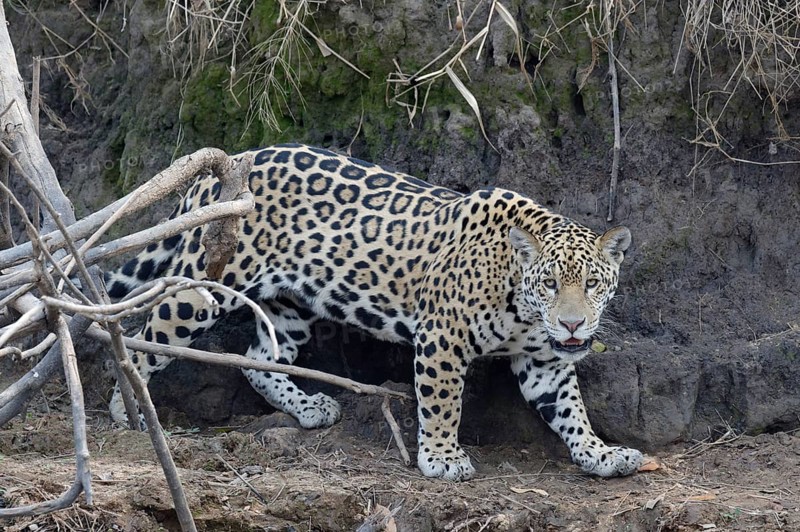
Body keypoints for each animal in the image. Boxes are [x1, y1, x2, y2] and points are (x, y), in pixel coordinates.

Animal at [105, 143, 644, 481]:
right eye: (550, 284)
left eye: (592, 284)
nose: (572, 324)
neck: (519, 295)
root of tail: (224, 168)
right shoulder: (442, 338)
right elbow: (443, 403)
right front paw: (442, 458)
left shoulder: (545, 362)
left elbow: (571, 410)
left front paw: (600, 454)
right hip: (200, 292)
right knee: (142, 337)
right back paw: (128, 410)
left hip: (290, 308)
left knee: (260, 359)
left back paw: (310, 406)